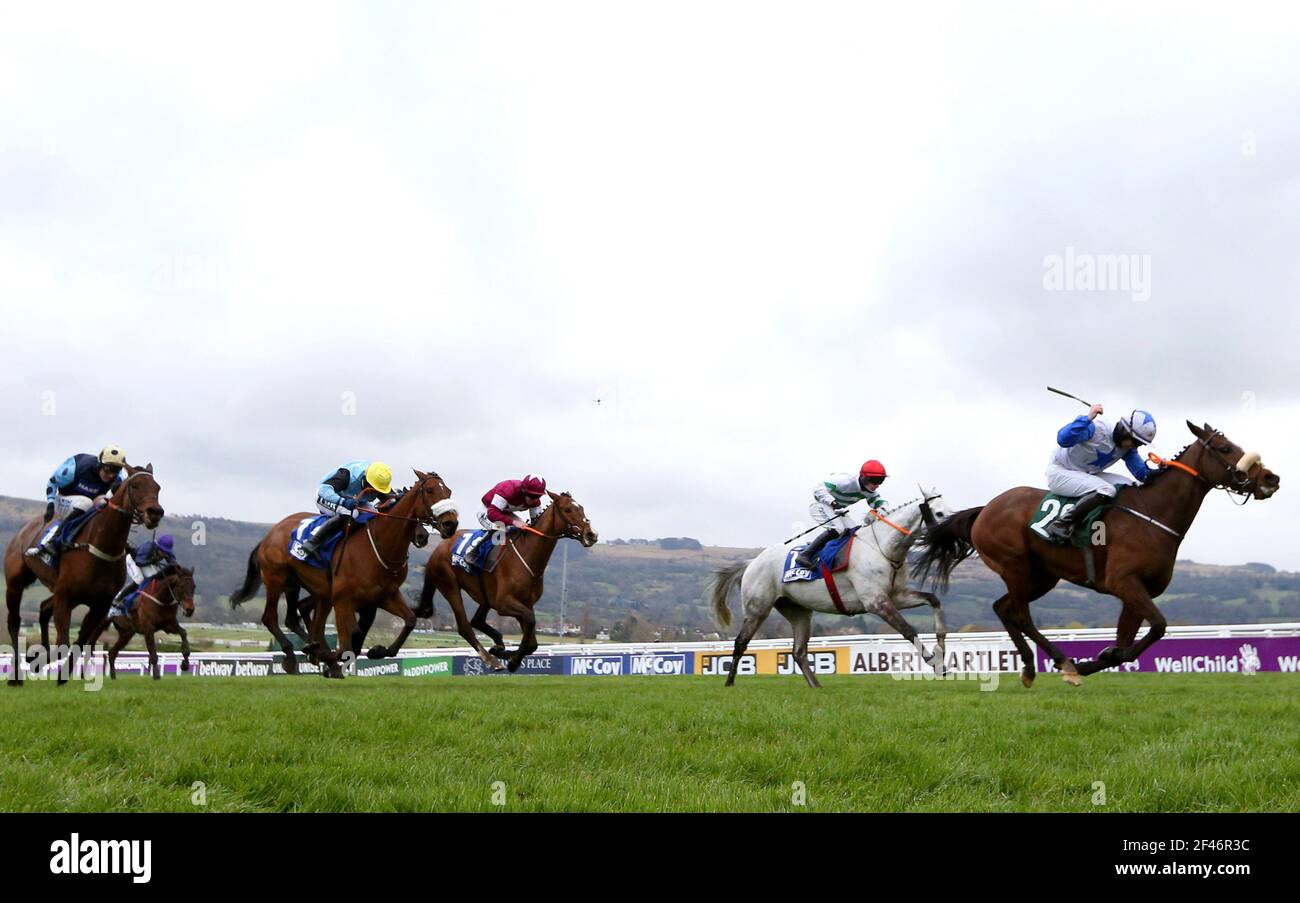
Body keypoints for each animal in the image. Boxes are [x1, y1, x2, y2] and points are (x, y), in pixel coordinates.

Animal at [3, 465, 165, 686]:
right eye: (135, 485)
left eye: (157, 487)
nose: (155, 512)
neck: (100, 547)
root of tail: (24, 529)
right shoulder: (65, 597)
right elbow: (64, 641)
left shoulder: (98, 606)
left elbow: (79, 643)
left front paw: (58, 673)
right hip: (16, 583)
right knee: (14, 621)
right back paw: (16, 677)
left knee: (44, 608)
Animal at [227, 472, 457, 675]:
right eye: (430, 490)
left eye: (449, 491)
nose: (450, 524)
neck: (380, 546)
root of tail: (270, 534)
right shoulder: (344, 600)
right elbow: (347, 645)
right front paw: (321, 654)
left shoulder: (384, 596)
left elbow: (409, 620)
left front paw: (378, 651)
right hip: (276, 579)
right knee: (270, 618)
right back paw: (294, 657)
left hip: (301, 586)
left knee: (295, 618)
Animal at [418, 493, 595, 670]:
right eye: (567, 509)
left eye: (581, 508)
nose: (591, 534)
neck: (527, 555)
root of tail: (437, 550)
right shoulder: (504, 603)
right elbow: (530, 620)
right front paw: (513, 660)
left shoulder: (525, 602)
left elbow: (532, 642)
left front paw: (506, 654)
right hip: (450, 586)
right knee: (464, 626)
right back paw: (492, 660)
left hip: (486, 596)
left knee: (477, 620)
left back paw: (497, 646)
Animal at [712, 491, 956, 691]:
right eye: (939, 512)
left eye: (951, 511)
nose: (955, 533)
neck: (881, 548)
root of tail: (752, 562)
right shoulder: (876, 602)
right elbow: (909, 630)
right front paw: (935, 663)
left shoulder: (895, 596)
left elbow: (933, 600)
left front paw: (941, 648)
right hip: (758, 609)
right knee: (741, 642)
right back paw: (729, 682)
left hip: (798, 612)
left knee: (799, 651)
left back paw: (816, 686)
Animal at [915, 420, 1279, 686]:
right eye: (1225, 448)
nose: (1270, 477)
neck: (1153, 514)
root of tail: (985, 509)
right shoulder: (1124, 582)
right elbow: (1158, 627)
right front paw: (1087, 662)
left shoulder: (1138, 591)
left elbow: (1126, 645)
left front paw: (1099, 658)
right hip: (1015, 565)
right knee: (1020, 614)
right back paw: (1062, 661)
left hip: (1041, 576)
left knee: (1003, 608)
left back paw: (1031, 667)